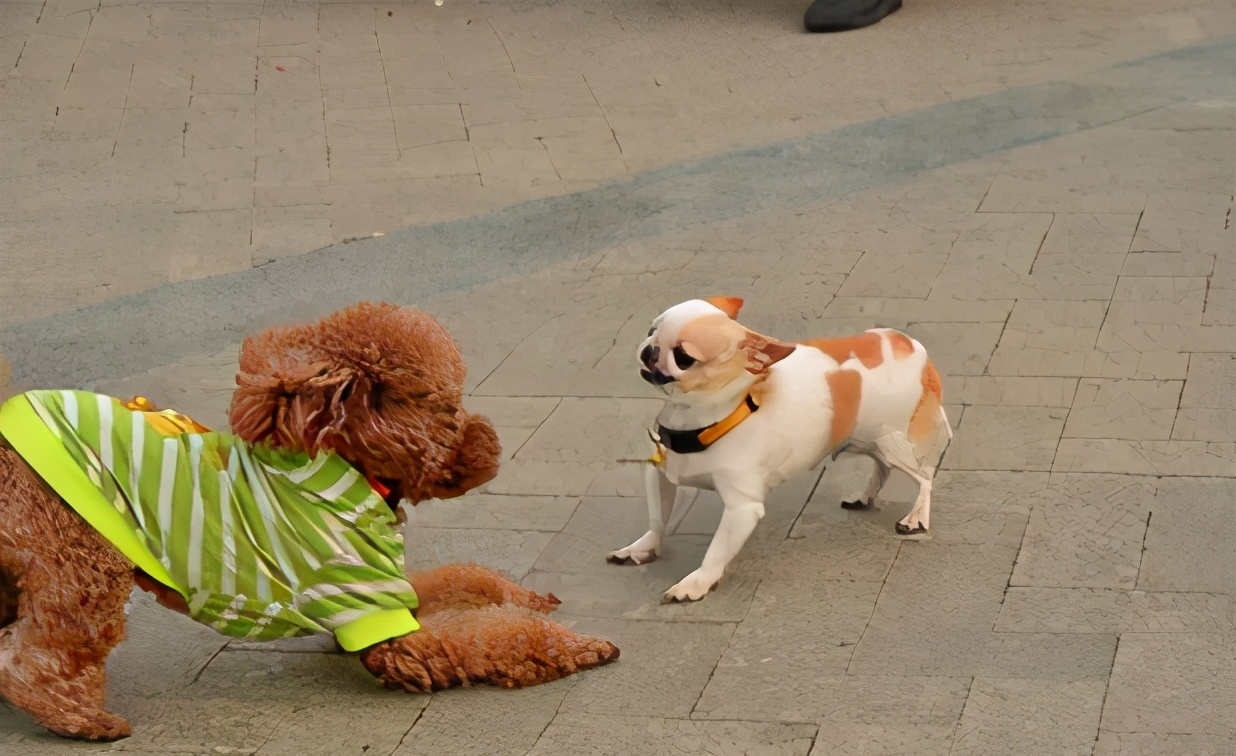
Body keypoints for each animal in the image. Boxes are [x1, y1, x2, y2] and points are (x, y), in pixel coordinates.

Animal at [613, 297, 949, 600]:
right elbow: (658, 519)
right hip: (863, 439)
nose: (650, 349)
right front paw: (642, 548)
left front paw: (695, 584)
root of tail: (910, 344)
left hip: (891, 439)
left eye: (684, 357)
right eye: (651, 330)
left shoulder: (742, 508)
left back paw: (916, 518)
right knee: (882, 467)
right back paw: (864, 496)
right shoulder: (661, 476)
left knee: (924, 477)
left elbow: (717, 550)